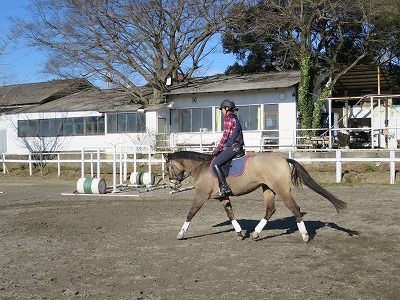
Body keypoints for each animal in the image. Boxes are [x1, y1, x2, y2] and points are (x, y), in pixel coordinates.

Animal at [166, 150, 346, 241]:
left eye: (168, 168)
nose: (173, 185)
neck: (201, 168)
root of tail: (283, 159)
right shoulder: (223, 197)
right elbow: (231, 214)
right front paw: (239, 233)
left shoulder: (201, 196)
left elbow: (191, 213)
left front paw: (181, 234)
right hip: (268, 189)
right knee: (270, 210)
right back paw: (256, 233)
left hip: (282, 190)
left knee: (295, 208)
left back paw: (305, 236)